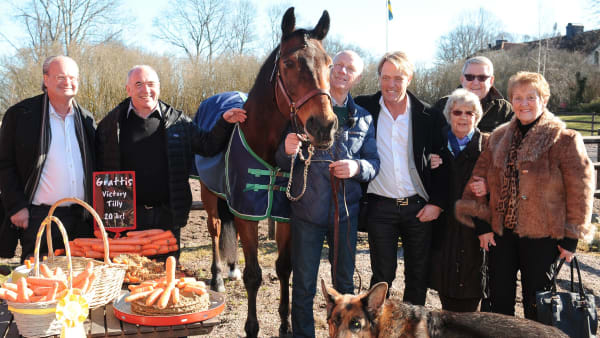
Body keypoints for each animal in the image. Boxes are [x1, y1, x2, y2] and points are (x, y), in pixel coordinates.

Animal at [198, 6, 336, 336]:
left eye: (329, 63)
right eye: (288, 63)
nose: (324, 126)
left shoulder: (284, 214)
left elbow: (284, 268)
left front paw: (286, 325)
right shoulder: (248, 213)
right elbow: (254, 275)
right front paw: (252, 327)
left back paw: (230, 270)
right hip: (209, 196)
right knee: (216, 228)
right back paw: (218, 277)